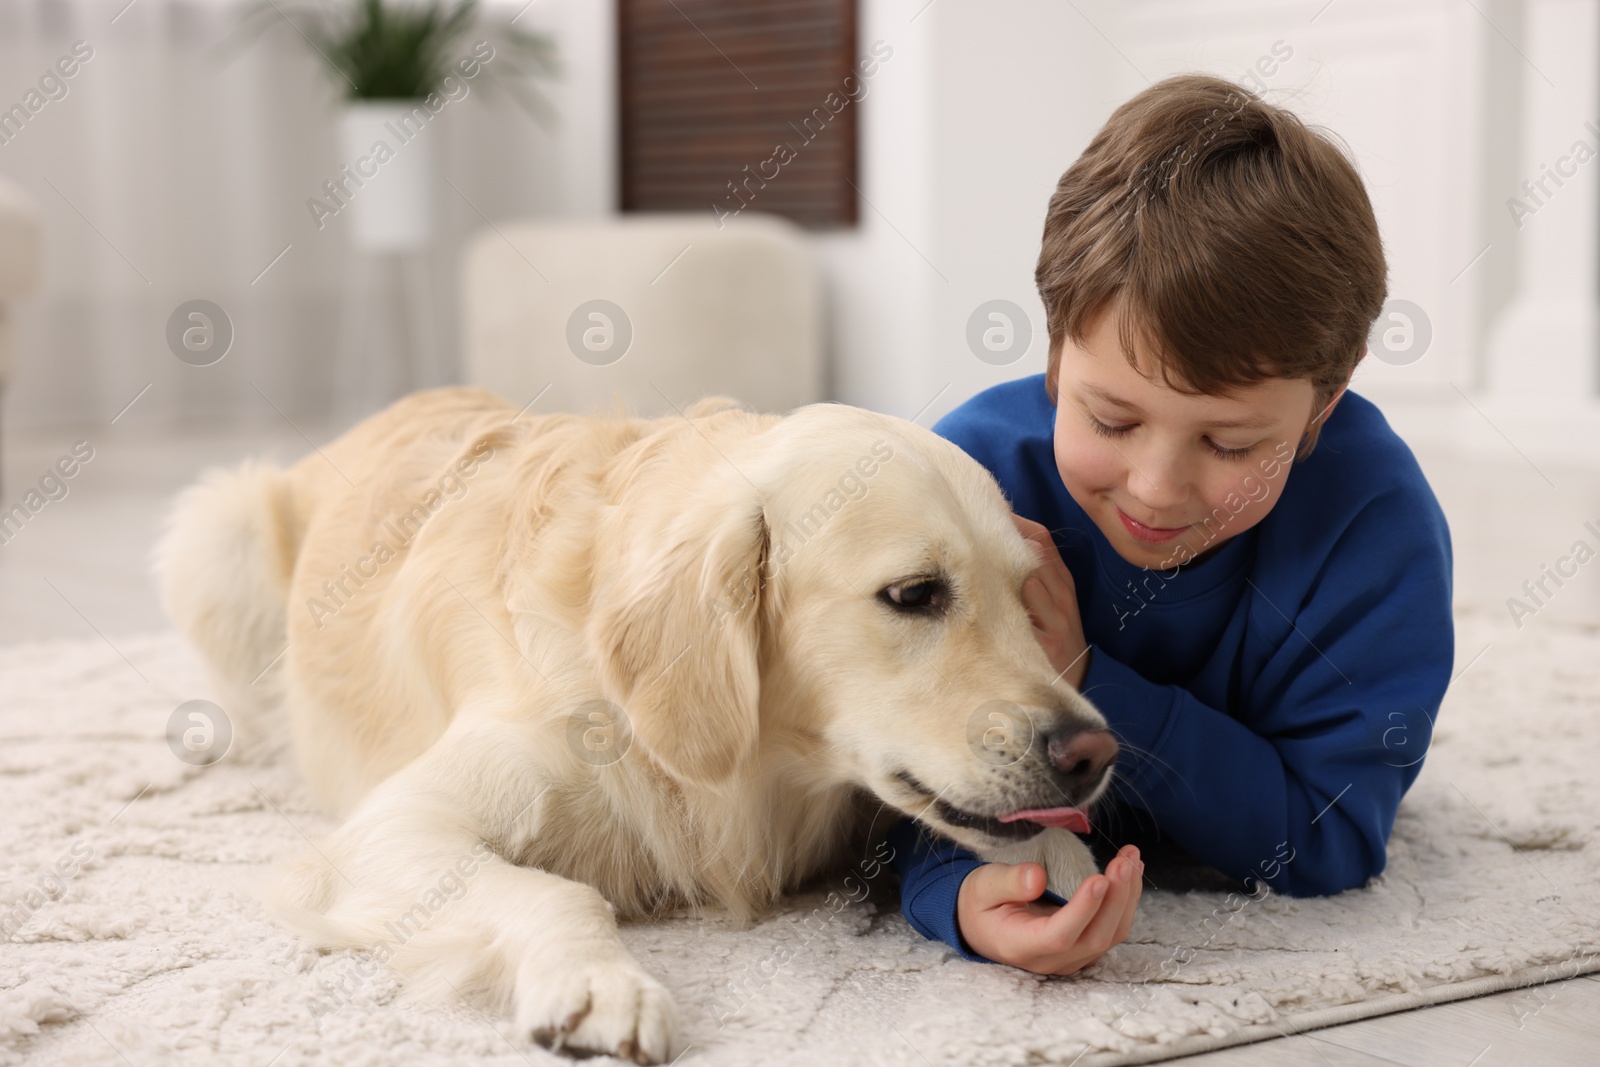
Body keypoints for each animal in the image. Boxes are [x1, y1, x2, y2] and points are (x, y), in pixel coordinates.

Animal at [156, 388, 1120, 1062]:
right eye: (915, 594)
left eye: (1028, 596)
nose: (1093, 753)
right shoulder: (391, 826)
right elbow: (555, 889)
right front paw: (599, 983)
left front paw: (1068, 862)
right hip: (217, 532)